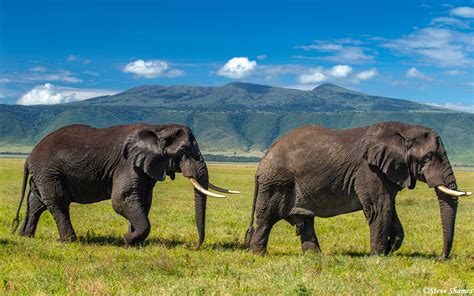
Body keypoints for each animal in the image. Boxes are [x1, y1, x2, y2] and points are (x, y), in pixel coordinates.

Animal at [12, 122, 239, 247]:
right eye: (184, 152)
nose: (194, 246)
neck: (158, 128)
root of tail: (28, 157)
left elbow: (143, 201)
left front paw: (133, 241)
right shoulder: (127, 163)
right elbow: (122, 200)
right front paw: (127, 239)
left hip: (43, 175)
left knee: (37, 203)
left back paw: (26, 236)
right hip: (49, 172)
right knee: (58, 203)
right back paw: (70, 241)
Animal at [244, 120, 470, 260]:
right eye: (429, 157)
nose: (440, 258)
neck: (404, 129)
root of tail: (262, 162)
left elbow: (390, 209)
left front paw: (390, 248)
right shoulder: (369, 170)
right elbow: (380, 209)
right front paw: (378, 257)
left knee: (306, 221)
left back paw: (315, 257)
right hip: (276, 183)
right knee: (267, 219)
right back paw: (259, 255)